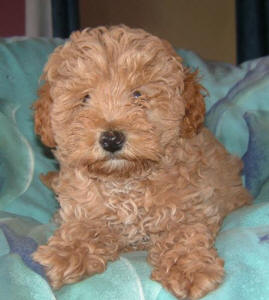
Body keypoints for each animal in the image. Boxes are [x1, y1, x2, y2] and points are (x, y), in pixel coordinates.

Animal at [32, 24, 250, 298]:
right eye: (85, 98)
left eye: (138, 95)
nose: (111, 139)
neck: (126, 181)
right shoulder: (85, 211)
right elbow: (83, 228)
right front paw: (63, 254)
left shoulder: (193, 206)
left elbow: (184, 233)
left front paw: (191, 269)